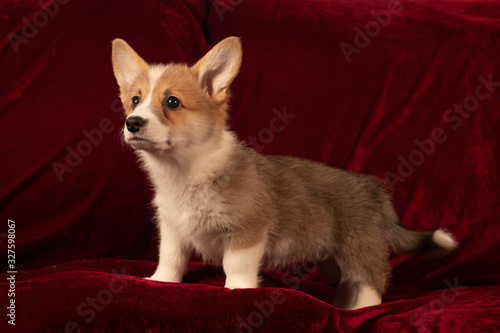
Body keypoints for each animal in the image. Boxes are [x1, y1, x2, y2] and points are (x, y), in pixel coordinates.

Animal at [111, 36, 458, 308]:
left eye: (172, 102)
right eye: (135, 100)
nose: (133, 123)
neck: (186, 169)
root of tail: (376, 189)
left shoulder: (246, 231)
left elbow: (235, 267)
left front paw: (236, 292)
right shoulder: (172, 229)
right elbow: (169, 260)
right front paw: (159, 282)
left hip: (359, 247)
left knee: (371, 281)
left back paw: (362, 310)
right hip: (333, 258)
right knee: (349, 282)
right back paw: (342, 307)